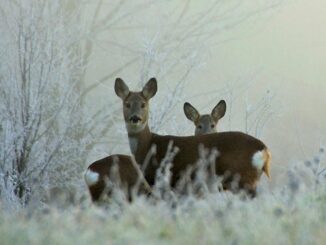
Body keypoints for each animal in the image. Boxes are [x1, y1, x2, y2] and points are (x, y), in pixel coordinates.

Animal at [114, 77, 270, 196]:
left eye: (143, 104)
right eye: (127, 104)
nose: (135, 118)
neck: (148, 146)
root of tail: (264, 149)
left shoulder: (159, 178)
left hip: (242, 178)